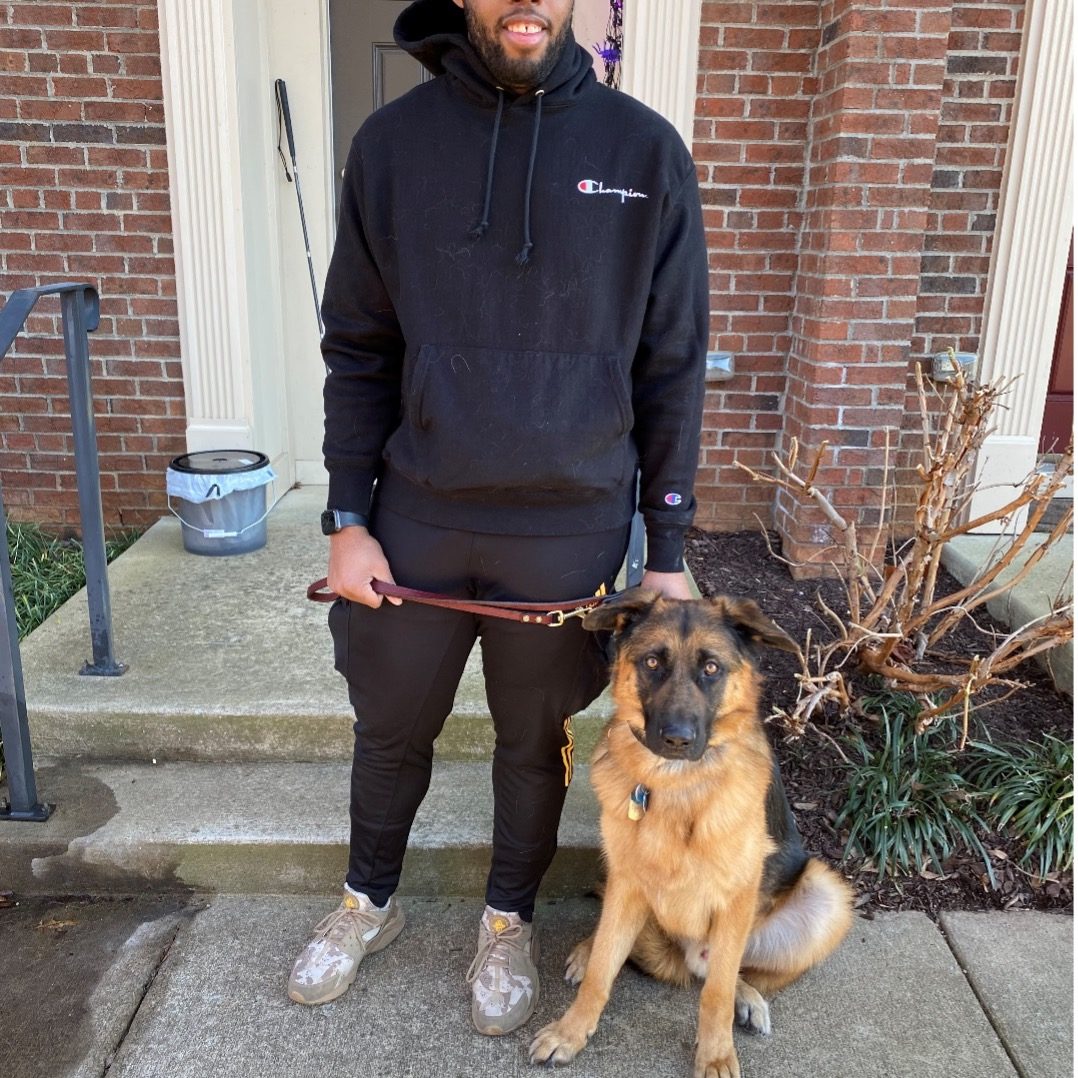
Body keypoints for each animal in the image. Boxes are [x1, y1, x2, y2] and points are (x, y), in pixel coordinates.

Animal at [528, 595, 849, 1078]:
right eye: (652, 662)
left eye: (712, 668)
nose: (676, 740)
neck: (677, 784)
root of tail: (688, 956)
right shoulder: (627, 882)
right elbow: (604, 970)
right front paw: (570, 1032)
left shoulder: (737, 896)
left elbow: (716, 992)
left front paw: (715, 1053)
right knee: (611, 939)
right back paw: (586, 951)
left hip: (826, 899)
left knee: (727, 973)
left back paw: (746, 997)